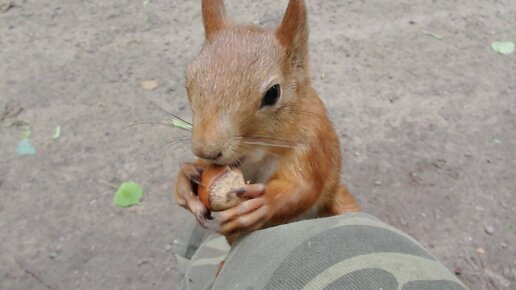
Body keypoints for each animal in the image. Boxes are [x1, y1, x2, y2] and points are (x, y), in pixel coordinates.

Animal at [173, 0, 358, 240]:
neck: (259, 154)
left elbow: (303, 187)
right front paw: (185, 179)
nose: (207, 151)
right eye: (188, 82)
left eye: (272, 93)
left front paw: (264, 204)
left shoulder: (312, 147)